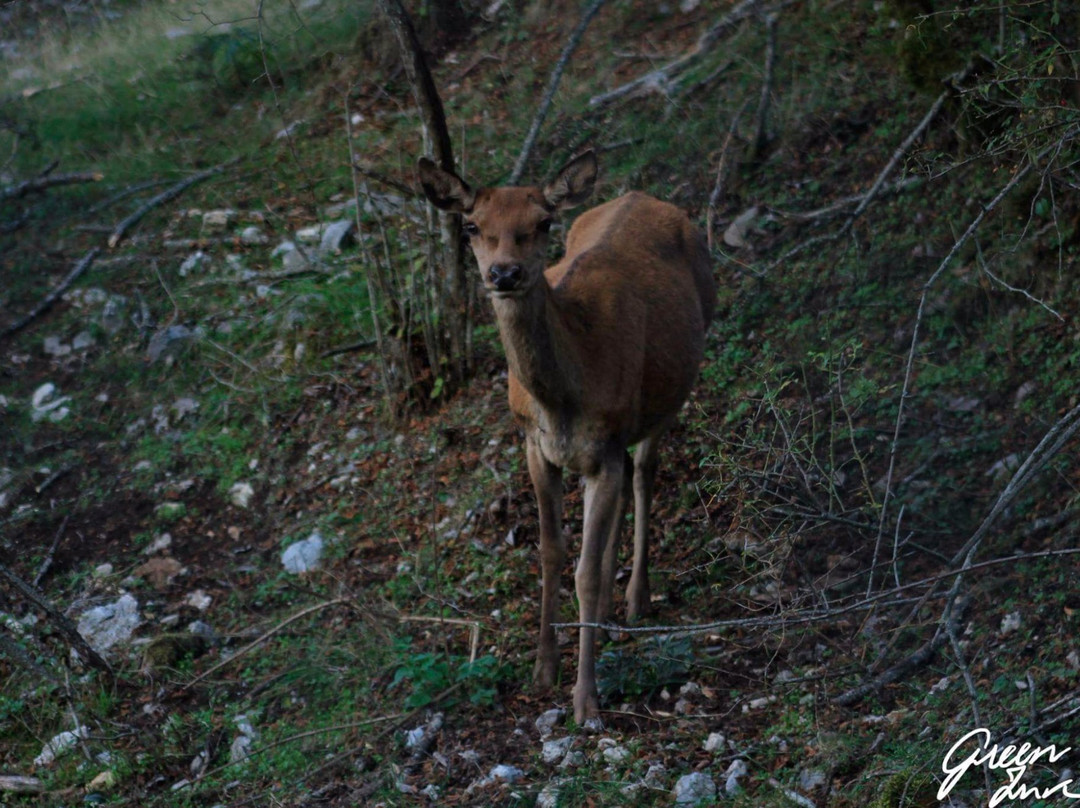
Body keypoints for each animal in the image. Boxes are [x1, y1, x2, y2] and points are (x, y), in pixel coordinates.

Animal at [419, 150, 717, 725]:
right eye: (472, 226)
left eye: (542, 223)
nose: (504, 273)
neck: (564, 397)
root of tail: (645, 196)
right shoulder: (535, 446)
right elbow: (552, 552)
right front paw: (543, 667)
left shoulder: (606, 444)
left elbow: (584, 572)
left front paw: (586, 698)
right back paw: (604, 614)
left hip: (667, 393)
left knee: (643, 475)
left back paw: (635, 599)